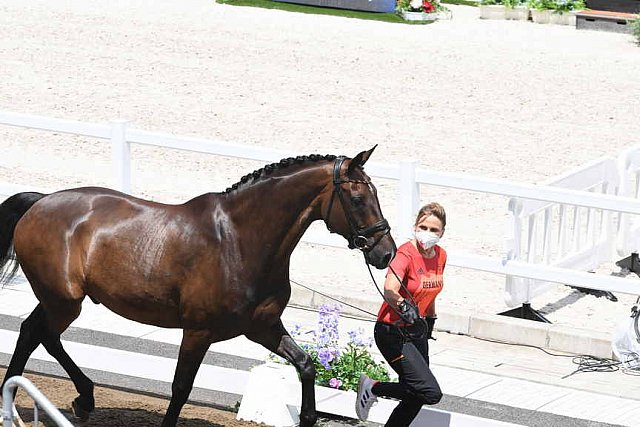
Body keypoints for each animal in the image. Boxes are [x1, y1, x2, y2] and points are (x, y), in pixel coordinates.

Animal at [0, 148, 396, 427]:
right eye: (358, 198)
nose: (385, 252)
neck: (239, 241)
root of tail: (41, 202)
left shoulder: (263, 328)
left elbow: (306, 364)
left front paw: (308, 417)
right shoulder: (198, 331)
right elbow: (180, 388)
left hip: (60, 300)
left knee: (34, 332)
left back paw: (64, 400)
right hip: (64, 301)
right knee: (40, 334)